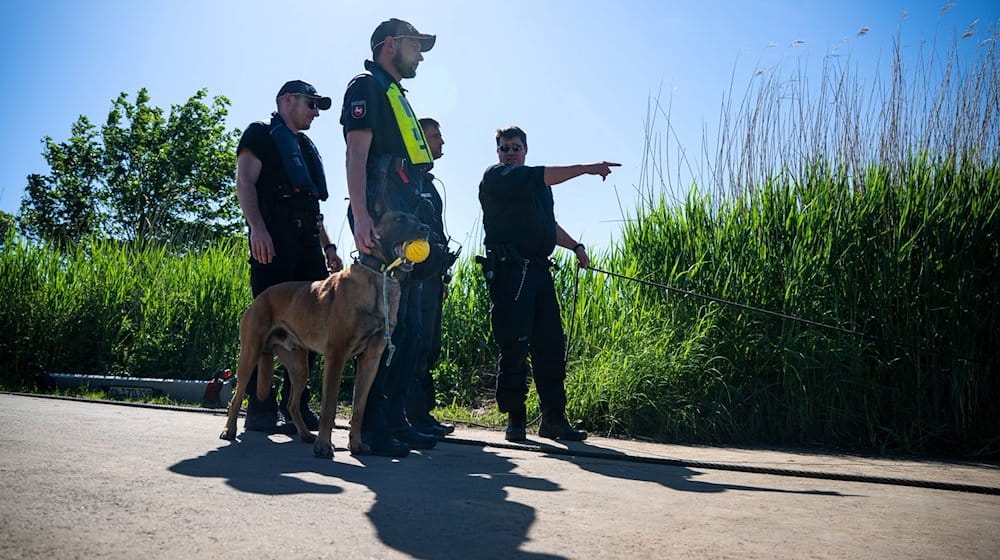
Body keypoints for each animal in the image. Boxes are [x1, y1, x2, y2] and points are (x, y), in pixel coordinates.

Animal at [221, 211, 428, 460]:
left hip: (300, 368)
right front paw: (323, 446)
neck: (379, 277)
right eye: (399, 219)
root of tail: (261, 297)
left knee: (292, 404)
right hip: (250, 356)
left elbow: (359, 408)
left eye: (415, 217)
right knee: (236, 396)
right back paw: (229, 430)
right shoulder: (336, 356)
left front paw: (356, 443)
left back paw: (304, 433)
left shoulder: (370, 360)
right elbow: (329, 407)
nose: (426, 229)